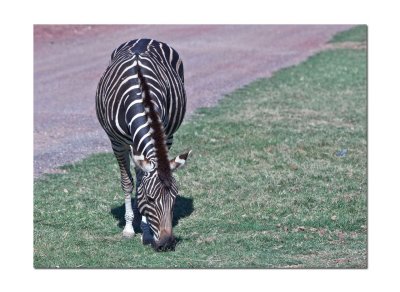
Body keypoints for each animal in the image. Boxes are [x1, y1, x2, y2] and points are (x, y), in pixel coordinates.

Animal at [96, 38, 191, 251]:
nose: (167, 244)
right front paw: (129, 229)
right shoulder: (117, 143)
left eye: (174, 199)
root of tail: (145, 39)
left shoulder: (162, 136)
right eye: (150, 199)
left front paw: (146, 231)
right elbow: (127, 183)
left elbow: (141, 182)